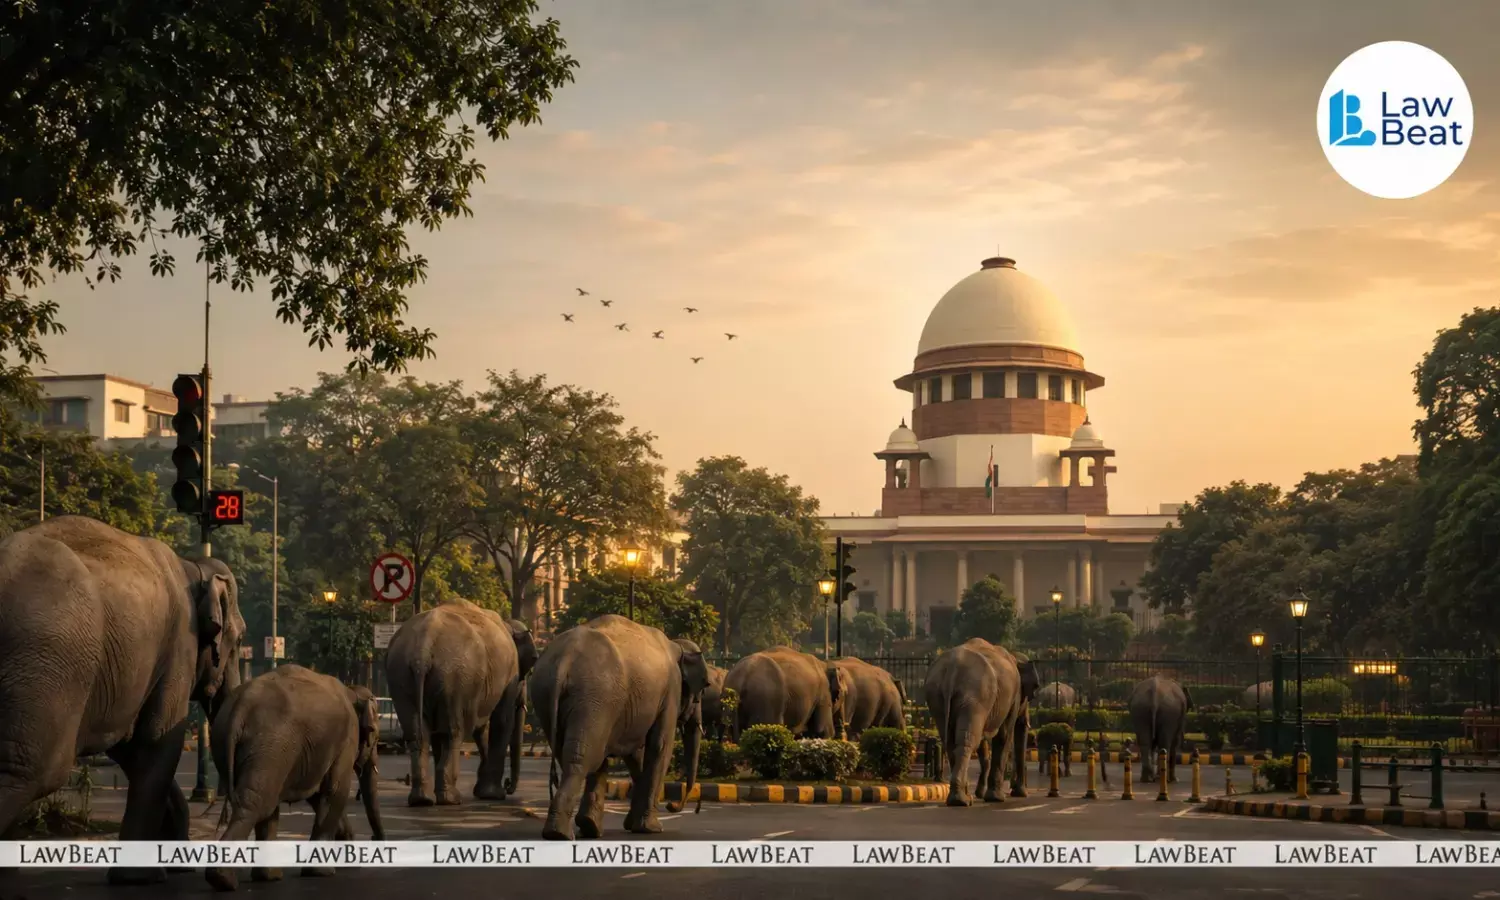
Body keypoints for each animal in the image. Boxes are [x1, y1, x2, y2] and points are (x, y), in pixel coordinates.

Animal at [0, 516, 243, 884]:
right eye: (241, 638)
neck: (192, 566)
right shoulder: (178, 648)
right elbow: (156, 742)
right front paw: (140, 878)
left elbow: (129, 748)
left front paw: (176, 864)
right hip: (50, 650)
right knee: (32, 769)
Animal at [204, 665, 385, 892]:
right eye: (374, 735)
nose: (374, 838)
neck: (352, 691)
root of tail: (242, 705)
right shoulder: (346, 740)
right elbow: (335, 791)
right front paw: (323, 872)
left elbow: (318, 795)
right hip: (271, 745)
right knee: (258, 804)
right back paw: (224, 879)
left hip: (240, 745)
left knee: (264, 802)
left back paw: (267, 877)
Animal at [385, 598, 538, 806]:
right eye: (530, 667)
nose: (508, 785)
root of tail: (422, 651)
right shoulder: (508, 674)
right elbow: (502, 720)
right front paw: (494, 795)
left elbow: (481, 728)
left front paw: (483, 792)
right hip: (456, 679)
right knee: (453, 732)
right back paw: (451, 798)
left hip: (401, 675)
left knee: (418, 733)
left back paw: (422, 799)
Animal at [529, 615, 708, 840]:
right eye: (704, 686)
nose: (673, 806)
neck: (676, 644)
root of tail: (564, 659)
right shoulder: (671, 691)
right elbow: (660, 746)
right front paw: (651, 828)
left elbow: (635, 753)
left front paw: (631, 824)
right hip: (596, 696)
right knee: (585, 757)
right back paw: (561, 833)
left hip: (549, 695)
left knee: (580, 753)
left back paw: (583, 828)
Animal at [924, 638, 1041, 807]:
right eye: (1034, 689)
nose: (1021, 793)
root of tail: (953, 668)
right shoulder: (1014, 696)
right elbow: (1005, 735)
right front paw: (997, 798)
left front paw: (984, 794)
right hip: (975, 695)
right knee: (967, 741)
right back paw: (962, 800)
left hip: (936, 696)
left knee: (950, 741)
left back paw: (962, 797)